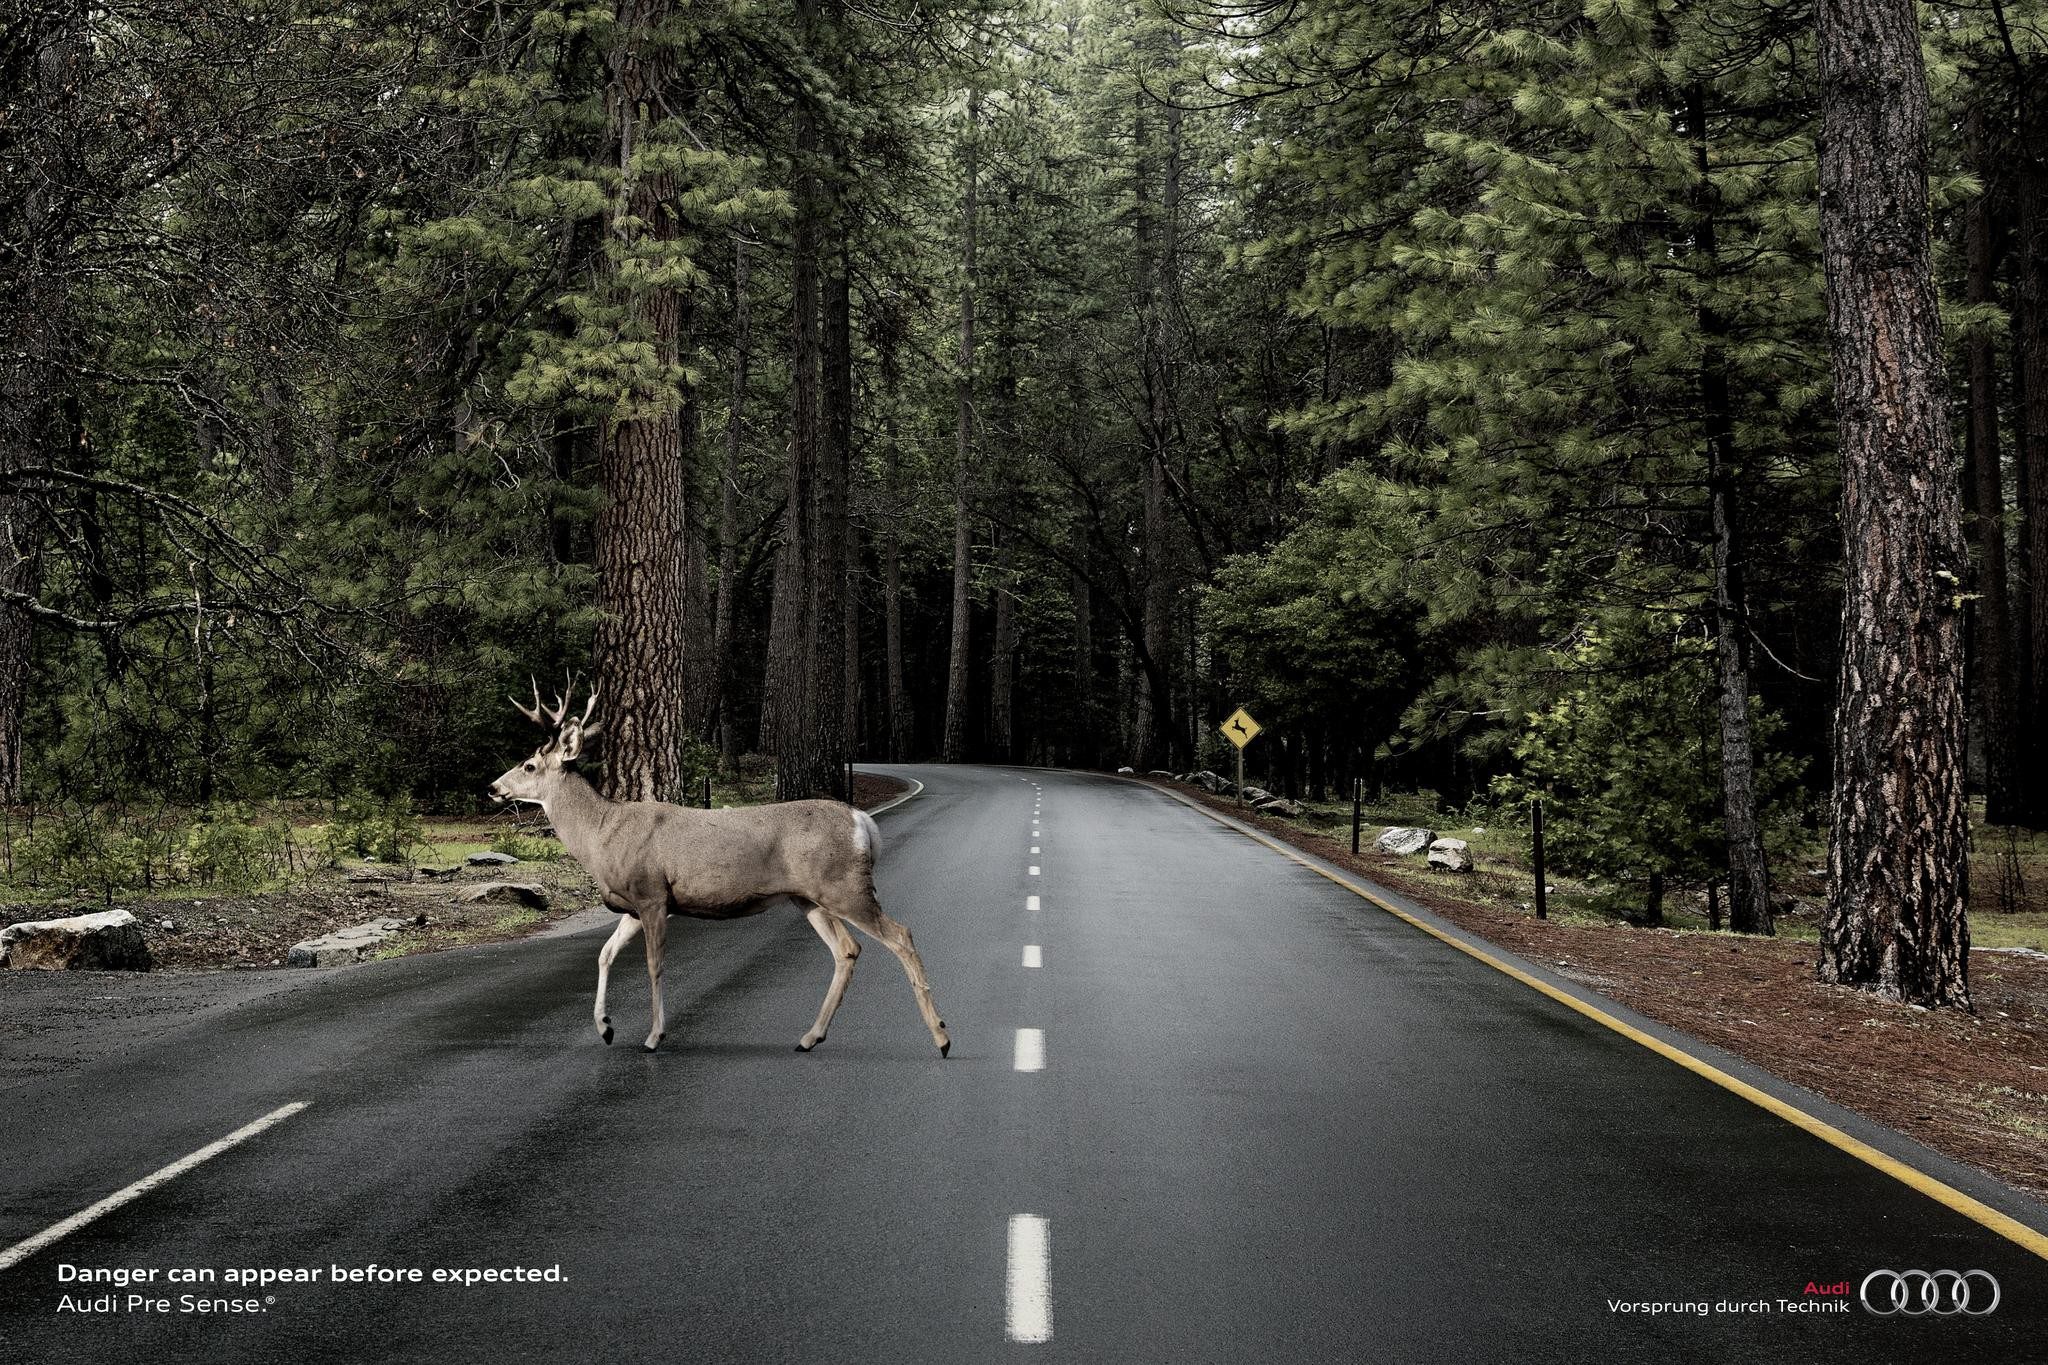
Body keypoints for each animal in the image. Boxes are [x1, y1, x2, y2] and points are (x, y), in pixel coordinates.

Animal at [486, 681, 949, 1058]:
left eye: (529, 765)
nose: (493, 787)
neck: (602, 835)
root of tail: (862, 822)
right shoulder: (634, 905)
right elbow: (604, 954)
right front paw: (605, 1028)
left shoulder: (653, 894)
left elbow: (655, 964)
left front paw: (653, 1037)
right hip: (810, 897)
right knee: (847, 950)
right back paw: (809, 1037)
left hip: (845, 886)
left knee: (901, 935)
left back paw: (942, 1037)